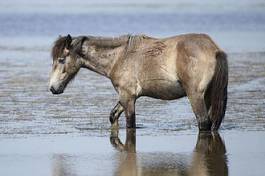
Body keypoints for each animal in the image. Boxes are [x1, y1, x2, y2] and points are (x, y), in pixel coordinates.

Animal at [48, 33, 227, 131]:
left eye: (61, 59)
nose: (52, 88)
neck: (119, 57)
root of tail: (215, 49)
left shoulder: (128, 97)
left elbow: (130, 124)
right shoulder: (125, 96)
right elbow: (113, 116)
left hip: (195, 96)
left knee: (203, 123)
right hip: (207, 96)